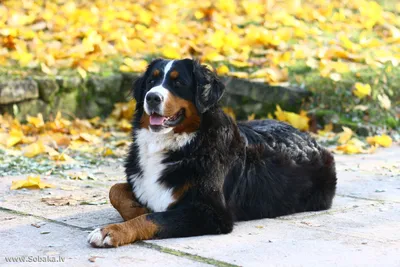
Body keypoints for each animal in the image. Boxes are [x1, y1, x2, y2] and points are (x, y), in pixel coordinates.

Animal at [88, 58, 338, 249]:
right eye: (152, 80)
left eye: (178, 82)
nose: (152, 97)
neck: (183, 143)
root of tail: (308, 137)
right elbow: (115, 191)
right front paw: (138, 208)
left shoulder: (211, 212)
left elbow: (152, 218)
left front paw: (113, 231)